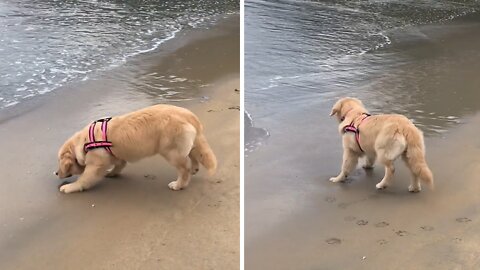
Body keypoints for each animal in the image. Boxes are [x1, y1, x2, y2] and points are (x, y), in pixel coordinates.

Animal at [54, 104, 216, 193]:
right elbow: (119, 165)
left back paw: (178, 184)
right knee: (193, 155)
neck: (85, 142)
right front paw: (111, 173)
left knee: (184, 168)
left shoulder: (95, 164)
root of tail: (190, 116)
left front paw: (70, 187)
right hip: (186, 144)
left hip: (170, 150)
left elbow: (85, 178)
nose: (55, 173)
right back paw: (194, 168)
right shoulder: (116, 156)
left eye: (60, 163)